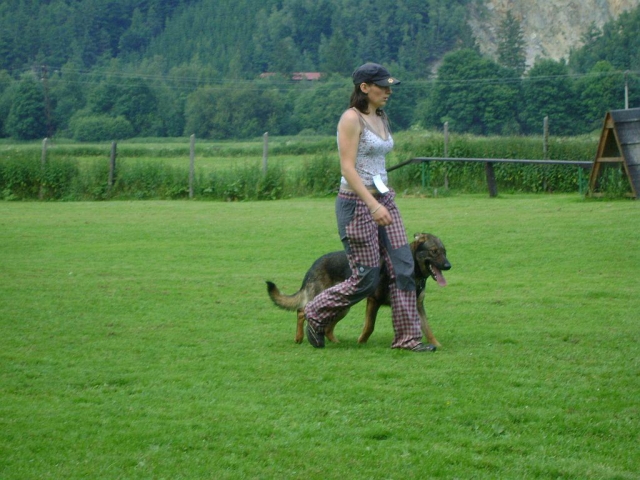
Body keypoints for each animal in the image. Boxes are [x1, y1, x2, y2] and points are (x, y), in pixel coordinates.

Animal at [266, 233, 451, 347]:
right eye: (434, 251)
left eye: (444, 251)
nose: (449, 266)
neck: (412, 270)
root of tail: (313, 265)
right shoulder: (374, 301)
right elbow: (369, 326)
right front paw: (361, 342)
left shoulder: (417, 306)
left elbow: (427, 328)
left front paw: (437, 345)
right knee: (302, 311)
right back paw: (299, 338)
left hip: (342, 307)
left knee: (326, 326)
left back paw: (334, 341)